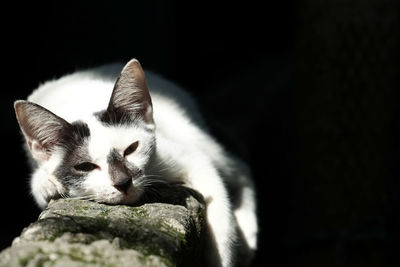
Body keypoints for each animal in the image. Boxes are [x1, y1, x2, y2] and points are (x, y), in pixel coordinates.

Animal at [14, 59, 258, 267]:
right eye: (85, 167)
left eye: (131, 149)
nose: (123, 182)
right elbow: (39, 185)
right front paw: (49, 184)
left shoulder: (184, 155)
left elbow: (219, 209)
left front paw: (222, 257)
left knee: (240, 169)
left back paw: (248, 232)